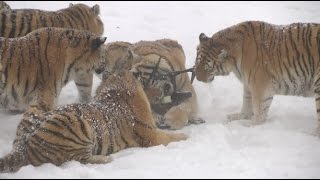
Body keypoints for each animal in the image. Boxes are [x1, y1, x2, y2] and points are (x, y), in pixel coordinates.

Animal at [191, 20, 320, 135]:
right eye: (197, 62)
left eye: (208, 68)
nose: (197, 78)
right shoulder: (248, 84)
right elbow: (247, 102)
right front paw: (240, 116)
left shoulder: (261, 86)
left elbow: (259, 109)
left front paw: (250, 126)